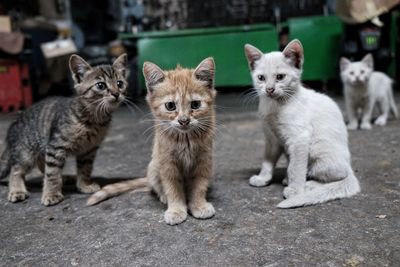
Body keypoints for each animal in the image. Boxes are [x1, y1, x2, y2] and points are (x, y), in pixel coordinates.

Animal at [0, 53, 127, 206]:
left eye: (120, 84)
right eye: (101, 85)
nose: (116, 94)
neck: (95, 119)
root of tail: (14, 123)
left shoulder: (89, 150)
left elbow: (85, 168)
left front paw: (84, 185)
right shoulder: (55, 146)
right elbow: (52, 173)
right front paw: (52, 194)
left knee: (42, 164)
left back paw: (65, 178)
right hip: (25, 152)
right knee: (16, 170)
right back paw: (17, 190)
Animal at [88, 58, 217, 226]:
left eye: (195, 105)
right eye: (170, 106)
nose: (184, 120)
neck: (186, 139)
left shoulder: (204, 161)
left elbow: (199, 186)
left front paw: (199, 205)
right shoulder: (167, 163)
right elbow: (172, 188)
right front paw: (176, 209)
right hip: (154, 166)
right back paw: (163, 197)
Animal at [242, 39, 360, 209]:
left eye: (280, 77)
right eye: (261, 78)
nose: (269, 89)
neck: (275, 106)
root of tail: (349, 167)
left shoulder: (300, 138)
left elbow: (296, 168)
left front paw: (296, 190)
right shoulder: (272, 140)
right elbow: (267, 161)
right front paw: (263, 178)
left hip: (317, 150)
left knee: (337, 176)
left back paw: (308, 185)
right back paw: (288, 179)